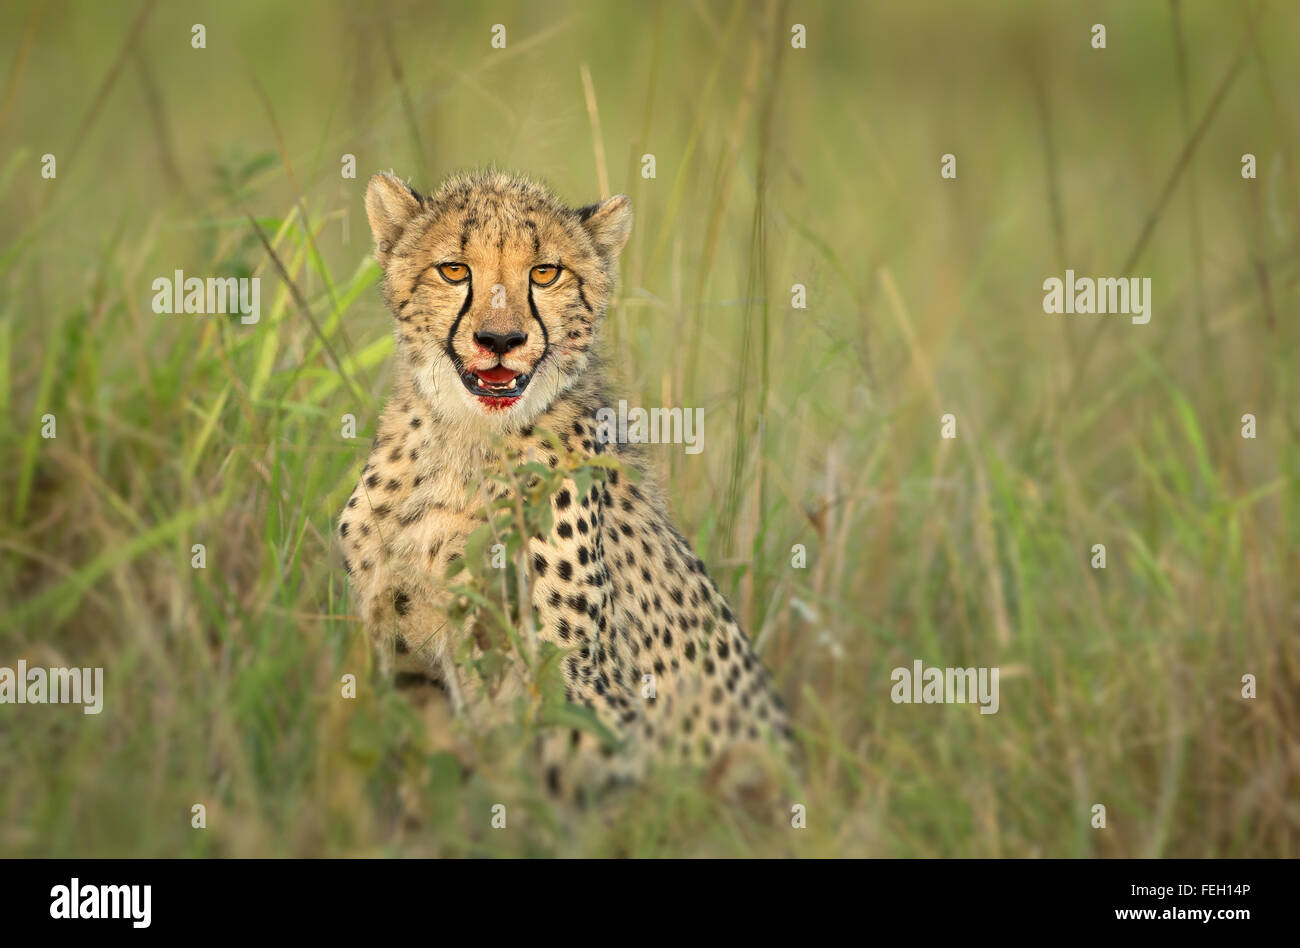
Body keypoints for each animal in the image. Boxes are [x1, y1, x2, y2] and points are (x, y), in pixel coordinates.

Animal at [340, 171, 790, 801]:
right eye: (453, 270)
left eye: (545, 273)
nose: (499, 340)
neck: (468, 442)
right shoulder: (406, 661)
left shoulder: (582, 691)